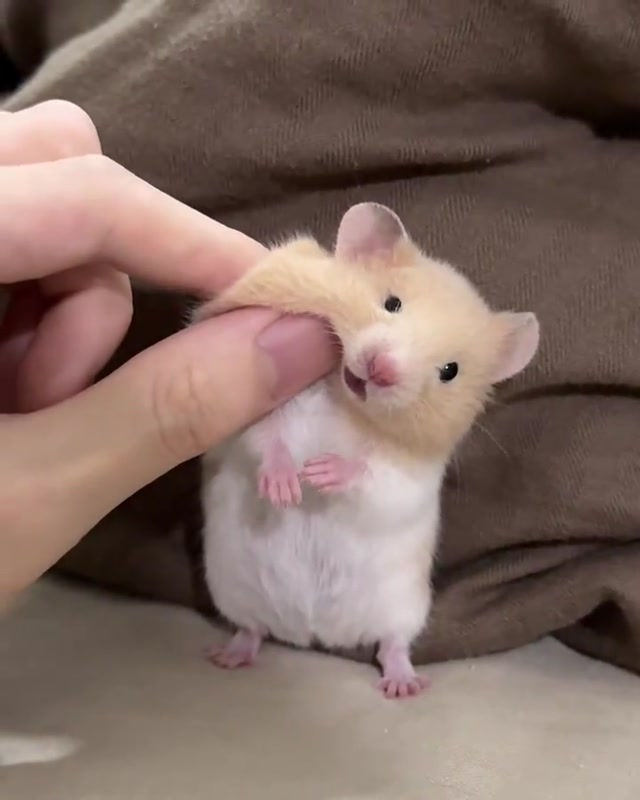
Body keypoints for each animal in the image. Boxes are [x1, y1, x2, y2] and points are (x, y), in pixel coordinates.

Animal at [193, 203, 540, 699]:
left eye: (450, 371)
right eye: (391, 302)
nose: (382, 370)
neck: (344, 398)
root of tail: (312, 634)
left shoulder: (411, 473)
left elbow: (373, 474)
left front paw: (321, 473)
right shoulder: (252, 421)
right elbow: (266, 436)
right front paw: (287, 488)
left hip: (405, 605)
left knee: (391, 643)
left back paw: (404, 685)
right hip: (230, 588)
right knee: (250, 629)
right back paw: (228, 657)